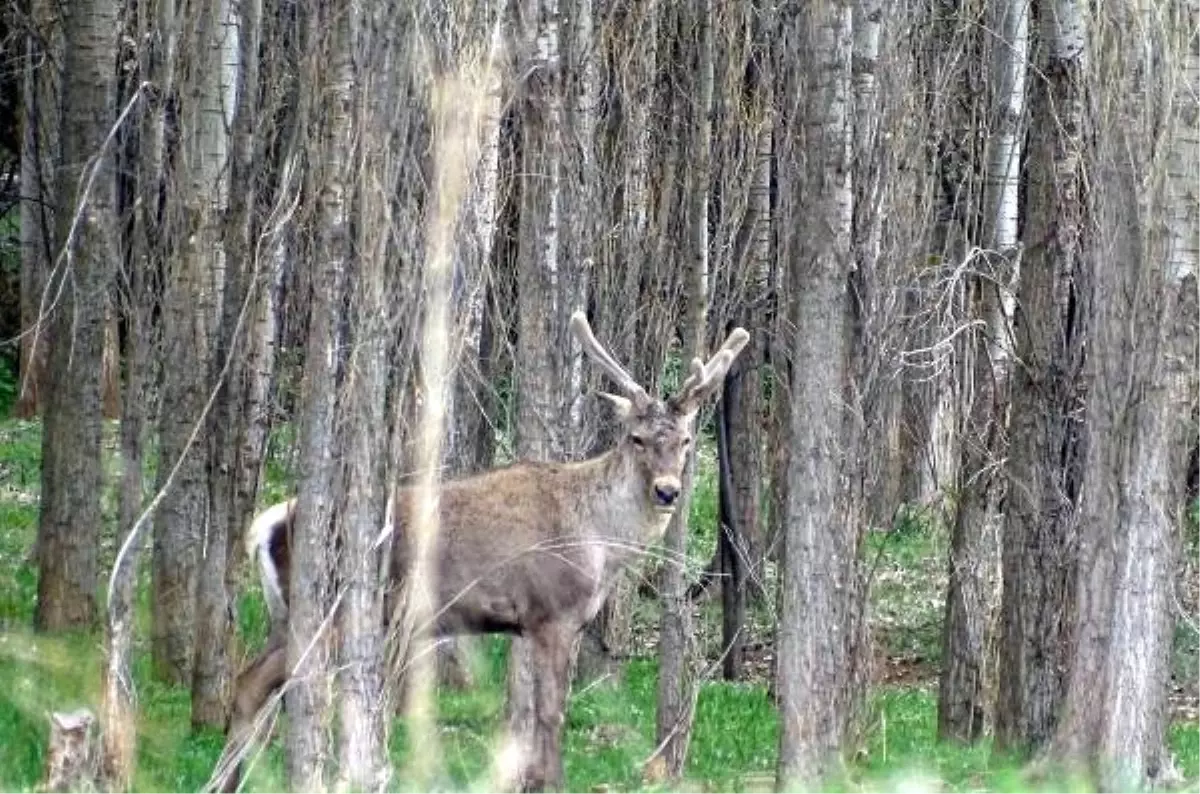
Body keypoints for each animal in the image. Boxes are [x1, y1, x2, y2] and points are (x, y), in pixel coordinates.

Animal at [218, 314, 748, 791]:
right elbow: (551, 713)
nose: (667, 491)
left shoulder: (529, 623)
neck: (598, 540)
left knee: (248, 684)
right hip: (326, 609)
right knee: (258, 684)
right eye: (635, 439)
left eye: (684, 440)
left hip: (285, 614)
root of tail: (266, 524)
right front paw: (551, 782)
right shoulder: (553, 611)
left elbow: (532, 712)